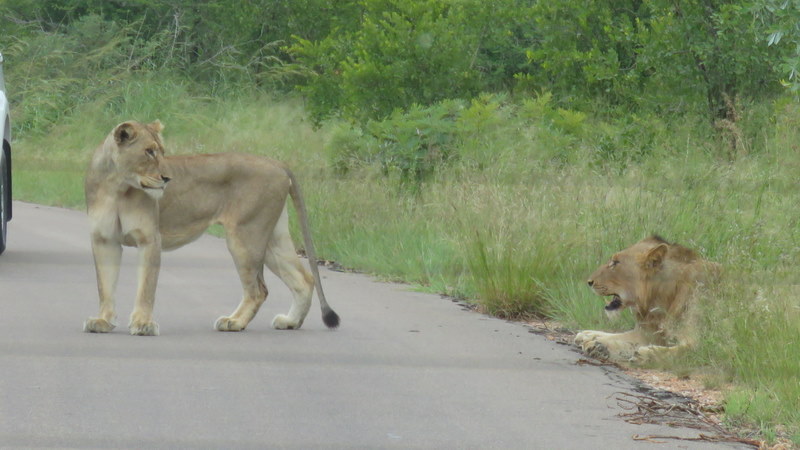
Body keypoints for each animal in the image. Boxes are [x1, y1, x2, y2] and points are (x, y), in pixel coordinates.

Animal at [83, 120, 339, 335]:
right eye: (148, 151)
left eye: (162, 152)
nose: (167, 178)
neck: (117, 187)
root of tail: (277, 163)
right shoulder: (104, 240)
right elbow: (104, 285)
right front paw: (103, 321)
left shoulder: (149, 238)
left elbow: (146, 287)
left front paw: (143, 324)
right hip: (271, 238)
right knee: (304, 279)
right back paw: (290, 322)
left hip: (245, 236)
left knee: (258, 290)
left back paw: (234, 322)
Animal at [574, 235, 717, 363]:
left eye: (615, 262)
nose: (589, 282)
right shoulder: (649, 334)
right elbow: (618, 337)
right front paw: (591, 338)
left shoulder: (699, 343)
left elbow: (682, 351)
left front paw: (646, 354)